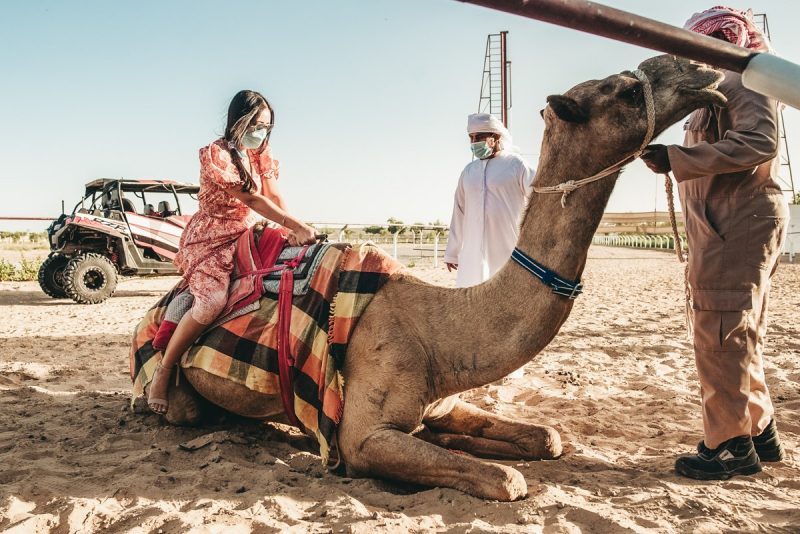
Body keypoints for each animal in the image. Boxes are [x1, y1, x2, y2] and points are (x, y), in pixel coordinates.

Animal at [145, 56, 724, 504]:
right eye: (626, 89)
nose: (702, 70)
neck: (439, 333)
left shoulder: (442, 398)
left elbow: (547, 438)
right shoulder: (363, 438)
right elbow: (507, 480)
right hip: (179, 389)